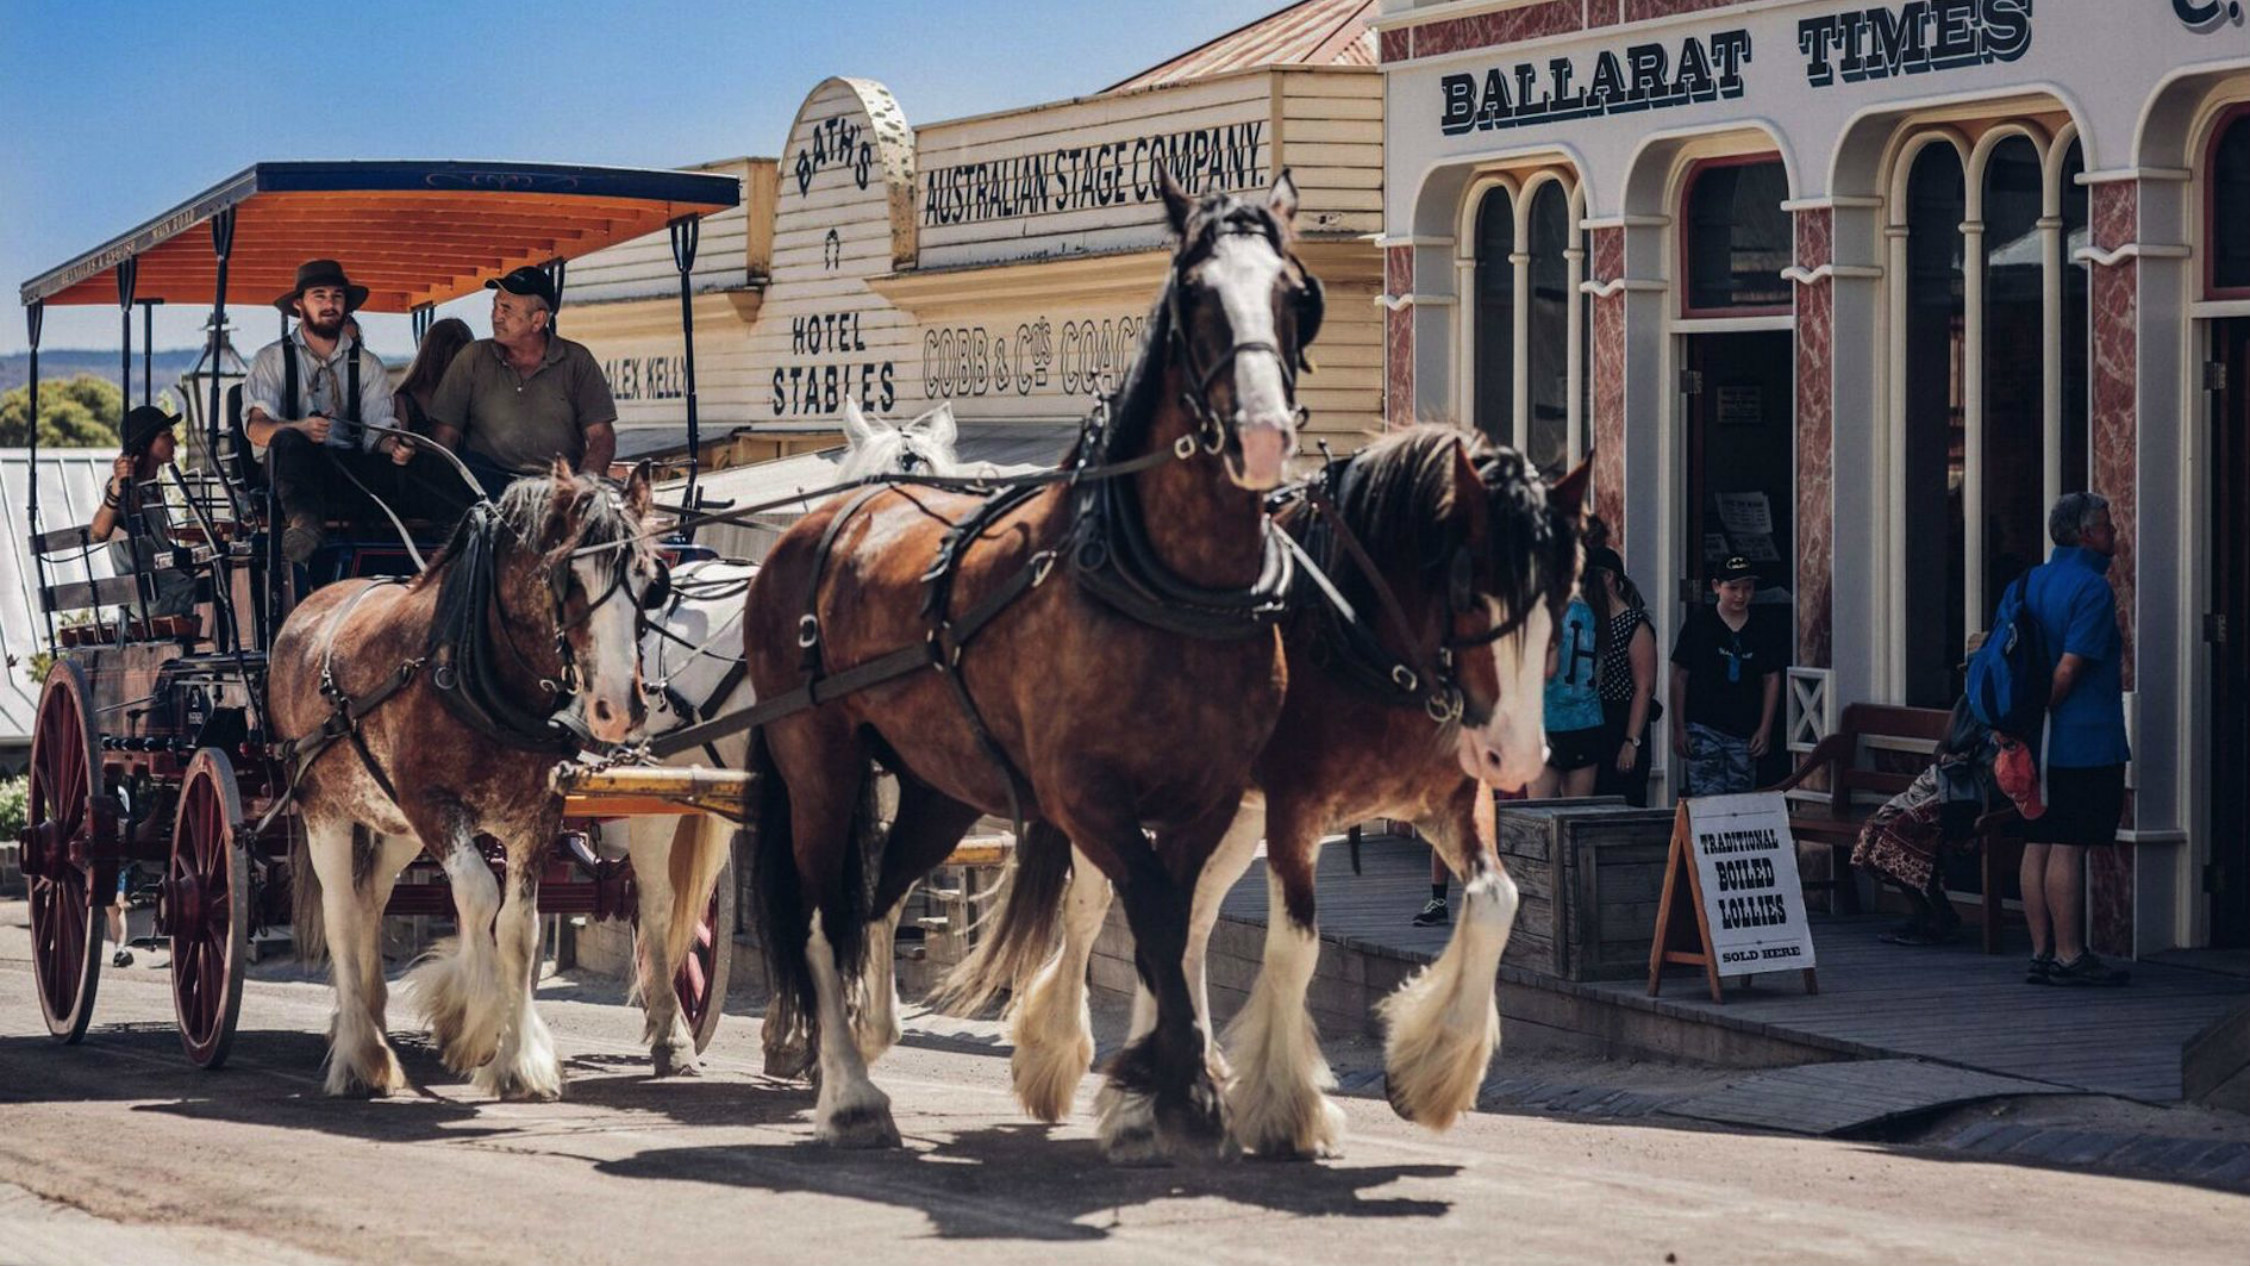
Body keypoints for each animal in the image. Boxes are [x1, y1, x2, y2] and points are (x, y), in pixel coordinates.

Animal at [273, 465, 666, 1101]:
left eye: (649, 579)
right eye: (569, 576)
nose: (617, 709)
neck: (479, 669)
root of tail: (309, 606)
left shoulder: (535, 816)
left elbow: (520, 928)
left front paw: (520, 1060)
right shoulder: (435, 806)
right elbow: (480, 897)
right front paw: (473, 1026)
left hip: (395, 824)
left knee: (368, 900)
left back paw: (370, 1020)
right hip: (325, 809)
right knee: (340, 910)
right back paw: (360, 1054)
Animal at [621, 395, 972, 1079]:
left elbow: (877, 899)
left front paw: (823, 1036)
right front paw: (815, 1036)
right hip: (652, 786)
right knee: (655, 899)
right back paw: (670, 1033)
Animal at [747, 168, 1323, 1160]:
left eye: (1295, 294)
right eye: (1195, 296)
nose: (1260, 434)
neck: (1164, 582)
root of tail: (823, 520)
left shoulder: (1209, 797)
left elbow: (1174, 926)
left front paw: (1160, 1082)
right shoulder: (1086, 794)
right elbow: (1156, 918)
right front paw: (1169, 1087)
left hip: (937, 786)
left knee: (876, 902)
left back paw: (865, 1039)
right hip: (816, 760)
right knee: (825, 913)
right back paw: (850, 1092)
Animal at [940, 429, 1593, 1160]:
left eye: (1563, 592)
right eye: (1470, 588)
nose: (1518, 754)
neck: (1364, 638)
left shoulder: (1451, 802)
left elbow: (1495, 901)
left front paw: (1430, 1072)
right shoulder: (1296, 812)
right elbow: (1295, 946)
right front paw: (1287, 1107)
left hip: (1230, 819)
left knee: (1187, 924)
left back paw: (1177, 1072)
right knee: (1094, 912)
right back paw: (1066, 1061)